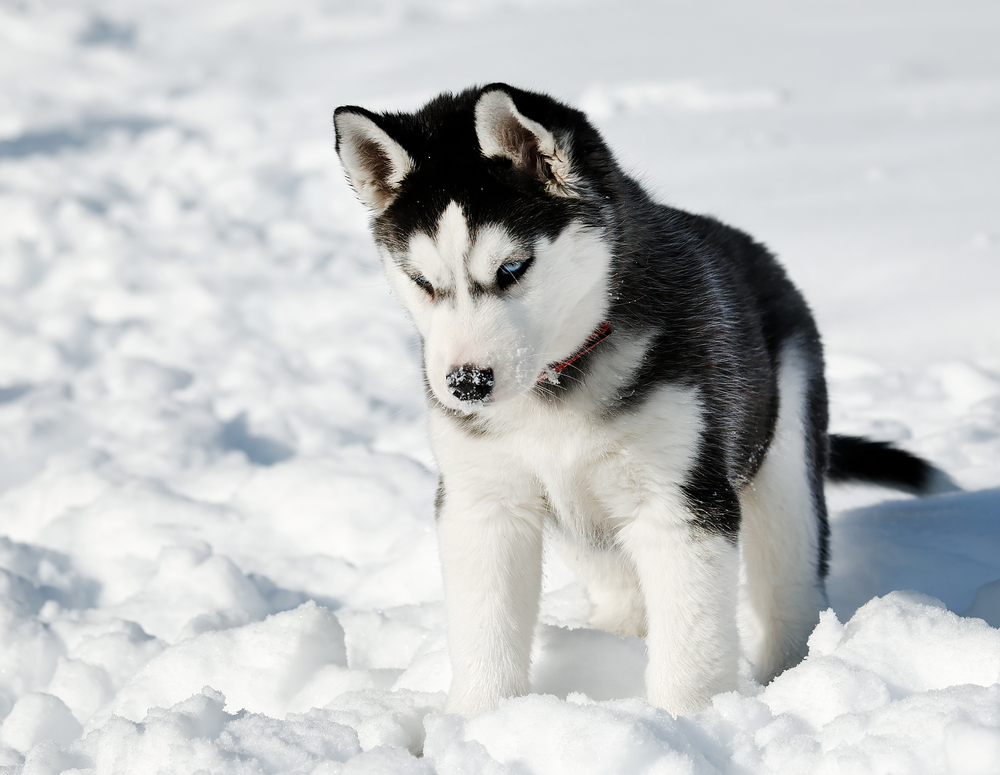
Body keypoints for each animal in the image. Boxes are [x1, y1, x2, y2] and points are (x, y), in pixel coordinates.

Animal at [332, 83, 956, 716]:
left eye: (512, 267)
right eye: (423, 283)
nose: (465, 383)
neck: (559, 381)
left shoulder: (682, 502)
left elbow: (691, 642)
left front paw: (688, 721)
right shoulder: (484, 502)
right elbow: (485, 630)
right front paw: (478, 719)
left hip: (783, 463)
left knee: (788, 584)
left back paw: (792, 677)